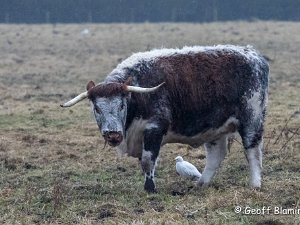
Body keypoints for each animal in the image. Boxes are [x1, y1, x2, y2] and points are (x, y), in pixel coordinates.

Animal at [61, 44, 270, 192]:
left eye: (121, 105)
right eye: (97, 108)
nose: (113, 135)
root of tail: (254, 55)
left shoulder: (154, 128)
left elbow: (147, 161)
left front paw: (150, 189)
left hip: (252, 119)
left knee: (252, 151)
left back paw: (255, 184)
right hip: (214, 128)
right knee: (215, 156)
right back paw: (201, 184)